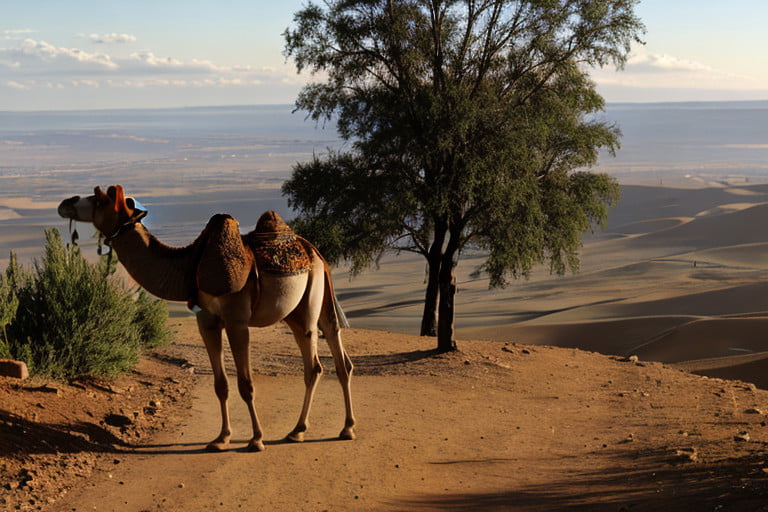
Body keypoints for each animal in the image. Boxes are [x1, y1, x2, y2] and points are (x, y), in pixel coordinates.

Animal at [57, 186, 356, 450]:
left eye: (99, 199)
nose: (65, 203)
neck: (190, 266)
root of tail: (314, 250)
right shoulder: (207, 322)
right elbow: (221, 384)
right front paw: (221, 438)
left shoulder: (237, 321)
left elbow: (246, 384)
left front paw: (256, 439)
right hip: (300, 309)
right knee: (337, 350)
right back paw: (343, 428)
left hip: (311, 298)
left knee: (315, 362)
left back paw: (301, 430)